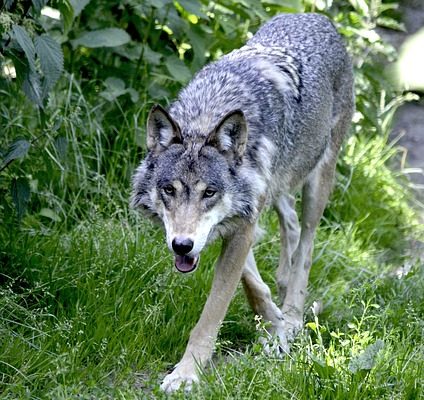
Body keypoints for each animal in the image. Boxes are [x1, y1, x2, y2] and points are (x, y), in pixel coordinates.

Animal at [130, 12, 354, 394]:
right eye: (169, 190)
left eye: (209, 192)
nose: (181, 245)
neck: (207, 114)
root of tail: (316, 16)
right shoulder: (239, 219)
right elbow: (252, 283)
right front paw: (272, 325)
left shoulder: (243, 222)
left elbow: (213, 312)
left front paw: (187, 374)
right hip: (279, 188)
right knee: (290, 224)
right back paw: (282, 290)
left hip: (318, 182)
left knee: (307, 245)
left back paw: (293, 314)